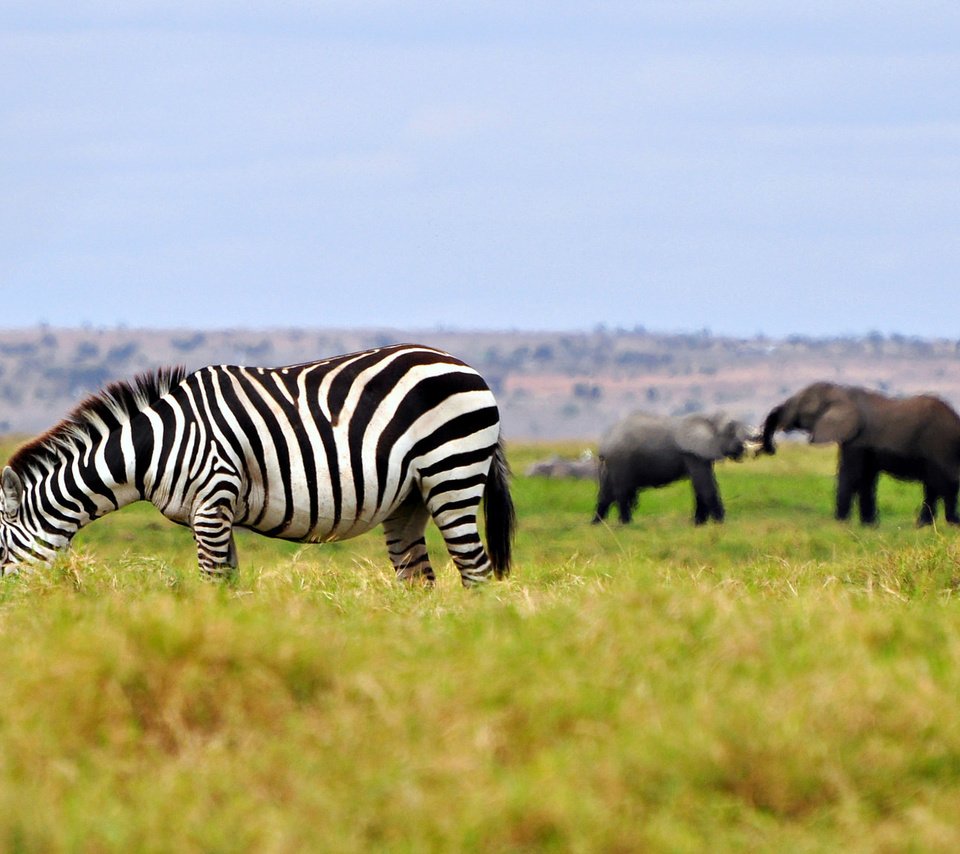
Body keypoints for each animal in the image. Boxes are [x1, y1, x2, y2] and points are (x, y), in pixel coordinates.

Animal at [0, 342, 516, 588]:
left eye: (0, 548)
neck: (154, 447)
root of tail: (465, 366)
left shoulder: (213, 501)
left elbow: (212, 582)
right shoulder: (213, 512)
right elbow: (227, 582)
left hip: (452, 473)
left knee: (475, 570)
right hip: (409, 498)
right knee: (418, 580)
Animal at [592, 414, 752, 528]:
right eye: (730, 431)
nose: (741, 449)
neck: (707, 420)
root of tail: (604, 445)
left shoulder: (702, 454)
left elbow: (700, 488)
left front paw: (698, 525)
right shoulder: (692, 454)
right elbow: (705, 486)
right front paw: (721, 524)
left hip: (609, 466)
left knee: (605, 494)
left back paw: (595, 524)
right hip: (620, 461)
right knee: (621, 492)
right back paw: (627, 524)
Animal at [760, 382, 960, 528]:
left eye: (801, 408)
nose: (771, 449)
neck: (842, 393)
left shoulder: (857, 440)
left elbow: (851, 475)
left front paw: (840, 524)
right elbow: (866, 480)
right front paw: (869, 526)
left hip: (939, 444)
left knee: (941, 484)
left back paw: (945, 524)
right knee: (937, 486)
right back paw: (931, 525)